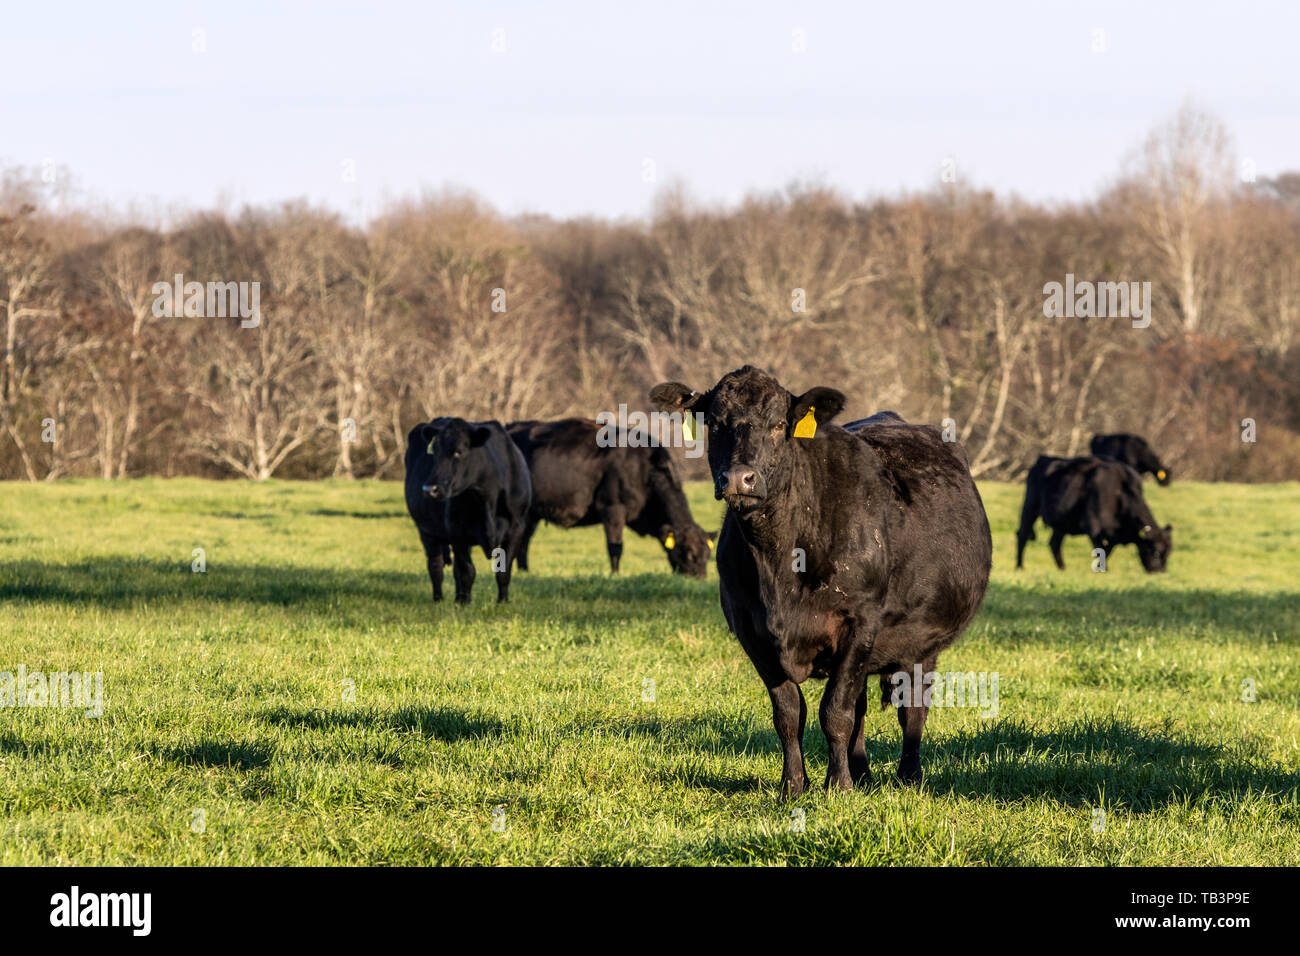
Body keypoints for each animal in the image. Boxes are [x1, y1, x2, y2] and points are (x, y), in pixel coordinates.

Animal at [403, 418, 530, 606]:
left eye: (458, 452)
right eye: (434, 452)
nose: (429, 489)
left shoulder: (517, 527)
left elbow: (504, 571)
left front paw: (502, 602)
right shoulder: (456, 530)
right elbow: (467, 571)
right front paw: (465, 604)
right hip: (426, 530)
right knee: (436, 566)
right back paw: (439, 599)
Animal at [504, 421, 712, 580]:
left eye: (708, 555)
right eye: (689, 554)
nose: (700, 578)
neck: (644, 470)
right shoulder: (612, 508)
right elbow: (615, 547)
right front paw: (615, 574)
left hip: (532, 514)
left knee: (524, 542)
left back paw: (525, 571)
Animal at [650, 366, 993, 790]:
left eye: (779, 424)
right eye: (714, 423)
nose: (739, 478)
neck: (779, 564)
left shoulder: (859, 623)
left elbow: (835, 713)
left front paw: (838, 786)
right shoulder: (752, 632)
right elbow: (789, 715)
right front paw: (793, 785)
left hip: (923, 642)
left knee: (912, 708)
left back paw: (908, 776)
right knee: (861, 705)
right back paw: (862, 773)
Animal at [1013, 455, 1180, 572]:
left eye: (1169, 553)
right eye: (1155, 551)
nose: (1160, 571)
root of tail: (1041, 460)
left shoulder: (1114, 534)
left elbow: (1108, 549)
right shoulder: (1093, 526)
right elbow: (1101, 549)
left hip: (1062, 522)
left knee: (1054, 543)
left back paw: (1062, 568)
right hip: (1030, 507)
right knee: (1022, 535)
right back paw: (1020, 566)